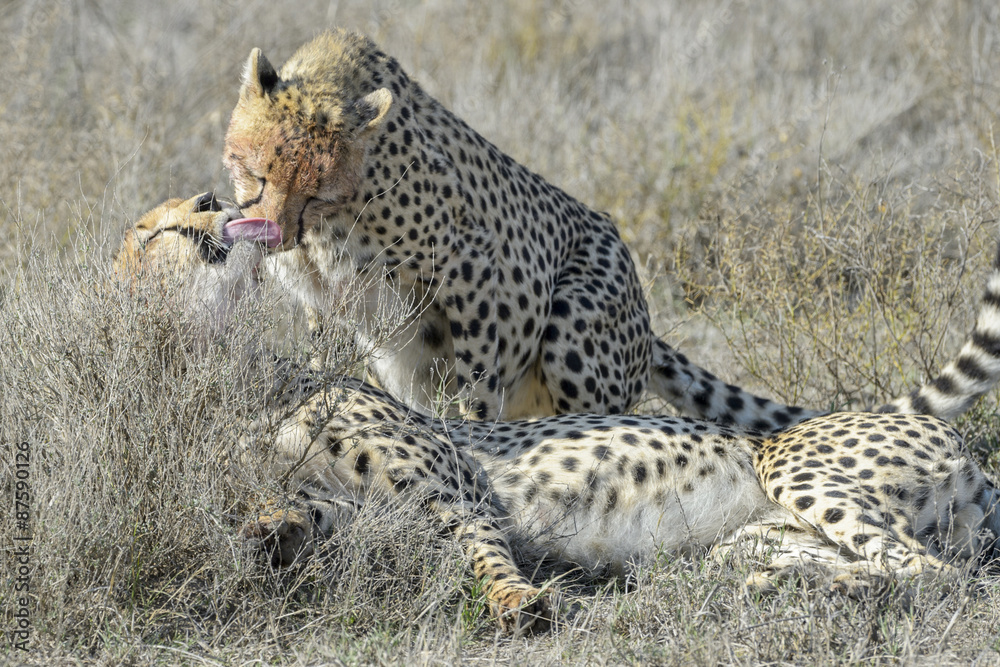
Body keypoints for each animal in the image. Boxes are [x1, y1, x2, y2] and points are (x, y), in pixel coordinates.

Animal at [118, 194, 1000, 634]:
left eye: (174, 216)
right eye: (154, 229)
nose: (211, 197)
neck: (240, 372)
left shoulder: (455, 488)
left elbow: (483, 548)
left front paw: (518, 604)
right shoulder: (354, 505)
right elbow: (301, 513)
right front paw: (267, 529)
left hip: (794, 463)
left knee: (938, 576)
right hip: (765, 534)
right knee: (889, 568)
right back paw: (785, 585)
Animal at [223, 28, 1000, 427]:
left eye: (316, 193)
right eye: (256, 175)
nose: (272, 232)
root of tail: (645, 317)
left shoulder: (482, 270)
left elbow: (475, 383)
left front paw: (471, 443)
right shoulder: (324, 303)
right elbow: (328, 362)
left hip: (576, 316)